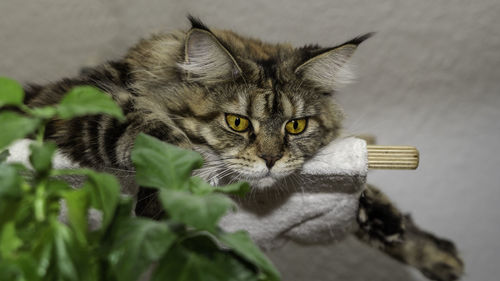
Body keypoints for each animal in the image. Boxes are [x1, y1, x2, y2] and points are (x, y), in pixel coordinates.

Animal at [19, 17, 464, 280]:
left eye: (295, 125)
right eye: (238, 123)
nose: (270, 159)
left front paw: (419, 242)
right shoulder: (76, 100)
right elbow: (148, 130)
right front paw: (165, 194)